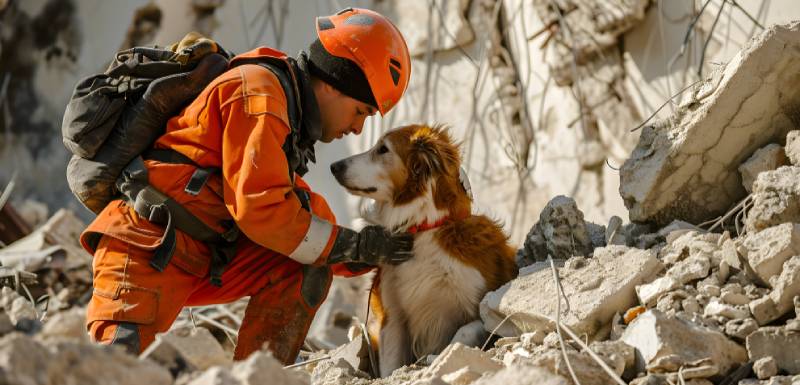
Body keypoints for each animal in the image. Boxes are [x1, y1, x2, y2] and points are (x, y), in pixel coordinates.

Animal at [328, 124, 516, 376]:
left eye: (383, 149)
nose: (333, 166)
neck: (422, 230)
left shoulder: (483, 306)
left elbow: (465, 330)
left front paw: (439, 357)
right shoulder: (393, 317)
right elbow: (390, 366)